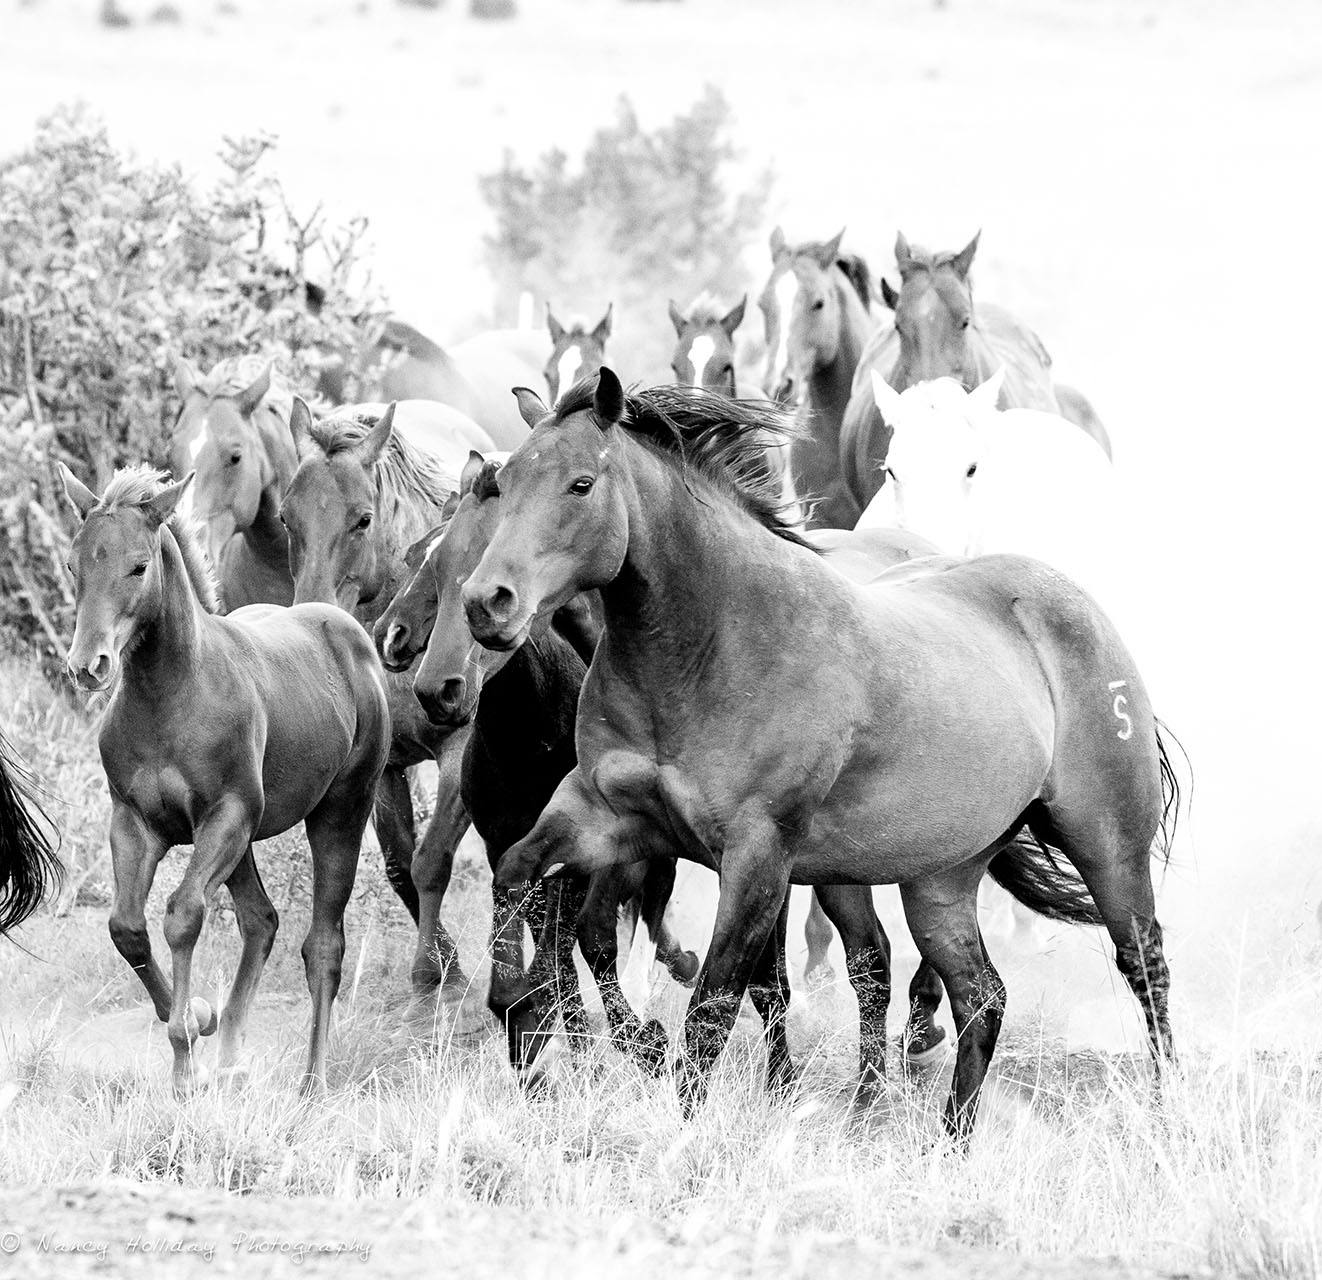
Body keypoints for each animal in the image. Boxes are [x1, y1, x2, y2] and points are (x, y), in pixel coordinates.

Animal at [60, 460, 388, 1089]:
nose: (89, 667)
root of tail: (345, 627)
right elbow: (126, 927)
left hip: (340, 812)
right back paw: (232, 1051)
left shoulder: (226, 815)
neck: (171, 696)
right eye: (74, 563)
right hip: (244, 841)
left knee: (323, 945)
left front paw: (185, 1058)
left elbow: (183, 915)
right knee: (261, 921)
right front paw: (197, 1021)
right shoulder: (134, 822)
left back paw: (312, 1082)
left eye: (139, 566)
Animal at [462, 367, 1179, 1142]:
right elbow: (520, 877)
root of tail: (1074, 604)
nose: (487, 602)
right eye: (503, 481)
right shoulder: (605, 816)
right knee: (979, 996)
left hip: (1107, 848)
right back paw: (941, 1141)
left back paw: (1170, 1107)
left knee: (1144, 963)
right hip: (942, 879)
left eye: (581, 484)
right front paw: (520, 1010)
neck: (710, 647)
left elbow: (714, 1007)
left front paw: (682, 1125)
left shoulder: (756, 855)